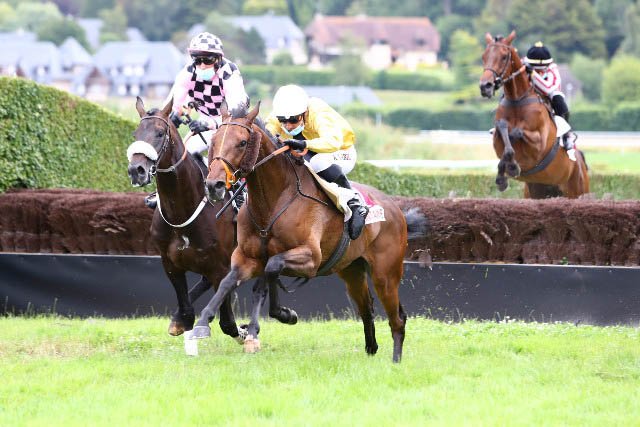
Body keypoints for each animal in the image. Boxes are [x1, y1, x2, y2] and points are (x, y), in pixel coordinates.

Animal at [190, 102, 428, 363]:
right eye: (214, 140)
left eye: (242, 142)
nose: (214, 185)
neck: (272, 202)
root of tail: (396, 210)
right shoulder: (247, 257)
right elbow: (229, 281)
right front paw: (202, 323)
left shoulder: (311, 258)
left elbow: (270, 269)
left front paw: (271, 321)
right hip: (352, 271)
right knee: (367, 309)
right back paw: (371, 348)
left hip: (385, 273)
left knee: (397, 318)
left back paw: (395, 360)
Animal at [479, 31, 589, 198]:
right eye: (484, 56)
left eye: (504, 56)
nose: (485, 86)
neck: (517, 100)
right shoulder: (498, 141)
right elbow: (502, 130)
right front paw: (503, 175)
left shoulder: (538, 145)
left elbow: (517, 132)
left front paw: (512, 167)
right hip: (536, 191)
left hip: (577, 192)